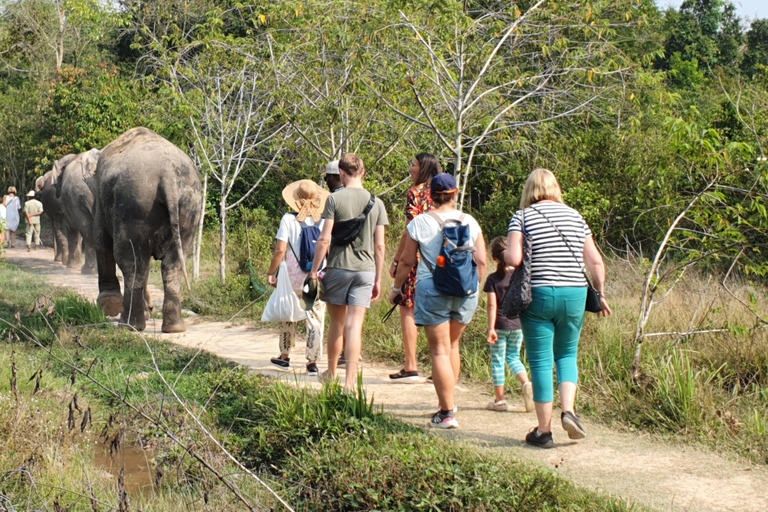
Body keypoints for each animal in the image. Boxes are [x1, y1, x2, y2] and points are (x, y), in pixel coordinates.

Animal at [94, 128, 201, 332]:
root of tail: (167, 173)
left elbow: (102, 241)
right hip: (188, 207)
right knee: (173, 264)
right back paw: (174, 328)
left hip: (135, 204)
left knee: (132, 263)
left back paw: (129, 325)